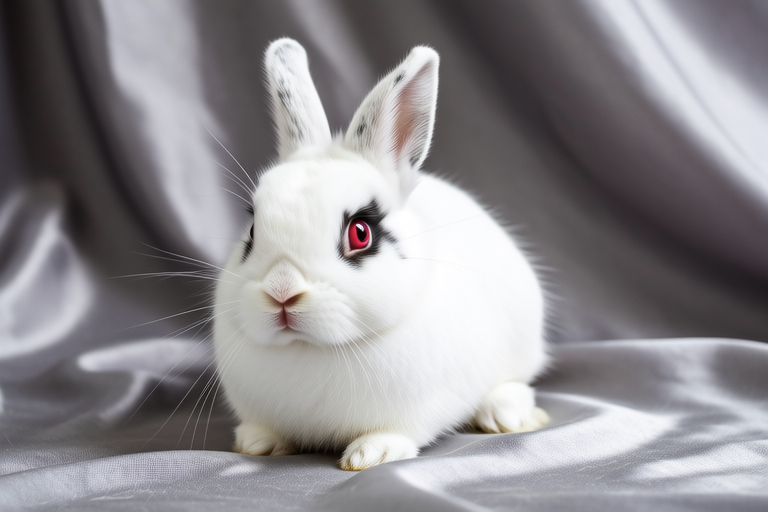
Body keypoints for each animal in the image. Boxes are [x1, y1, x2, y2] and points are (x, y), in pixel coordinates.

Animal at [213, 38, 549, 471]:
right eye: (252, 230)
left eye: (360, 234)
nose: (282, 292)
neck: (313, 350)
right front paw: (257, 443)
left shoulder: (422, 406)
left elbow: (397, 431)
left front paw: (372, 453)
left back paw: (506, 414)